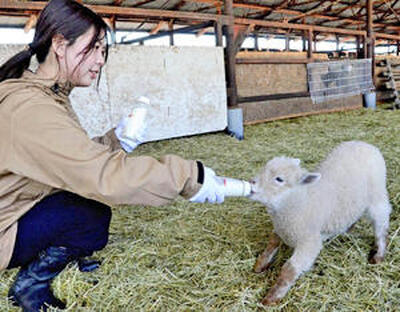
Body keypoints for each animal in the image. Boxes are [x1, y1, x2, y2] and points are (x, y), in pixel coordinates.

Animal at [248, 141, 392, 304]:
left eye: (279, 179)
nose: (252, 183)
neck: (301, 202)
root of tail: (365, 144)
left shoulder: (309, 242)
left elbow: (289, 269)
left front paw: (272, 297)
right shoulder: (281, 229)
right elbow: (271, 244)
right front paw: (260, 264)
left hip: (377, 196)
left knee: (381, 224)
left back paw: (379, 254)